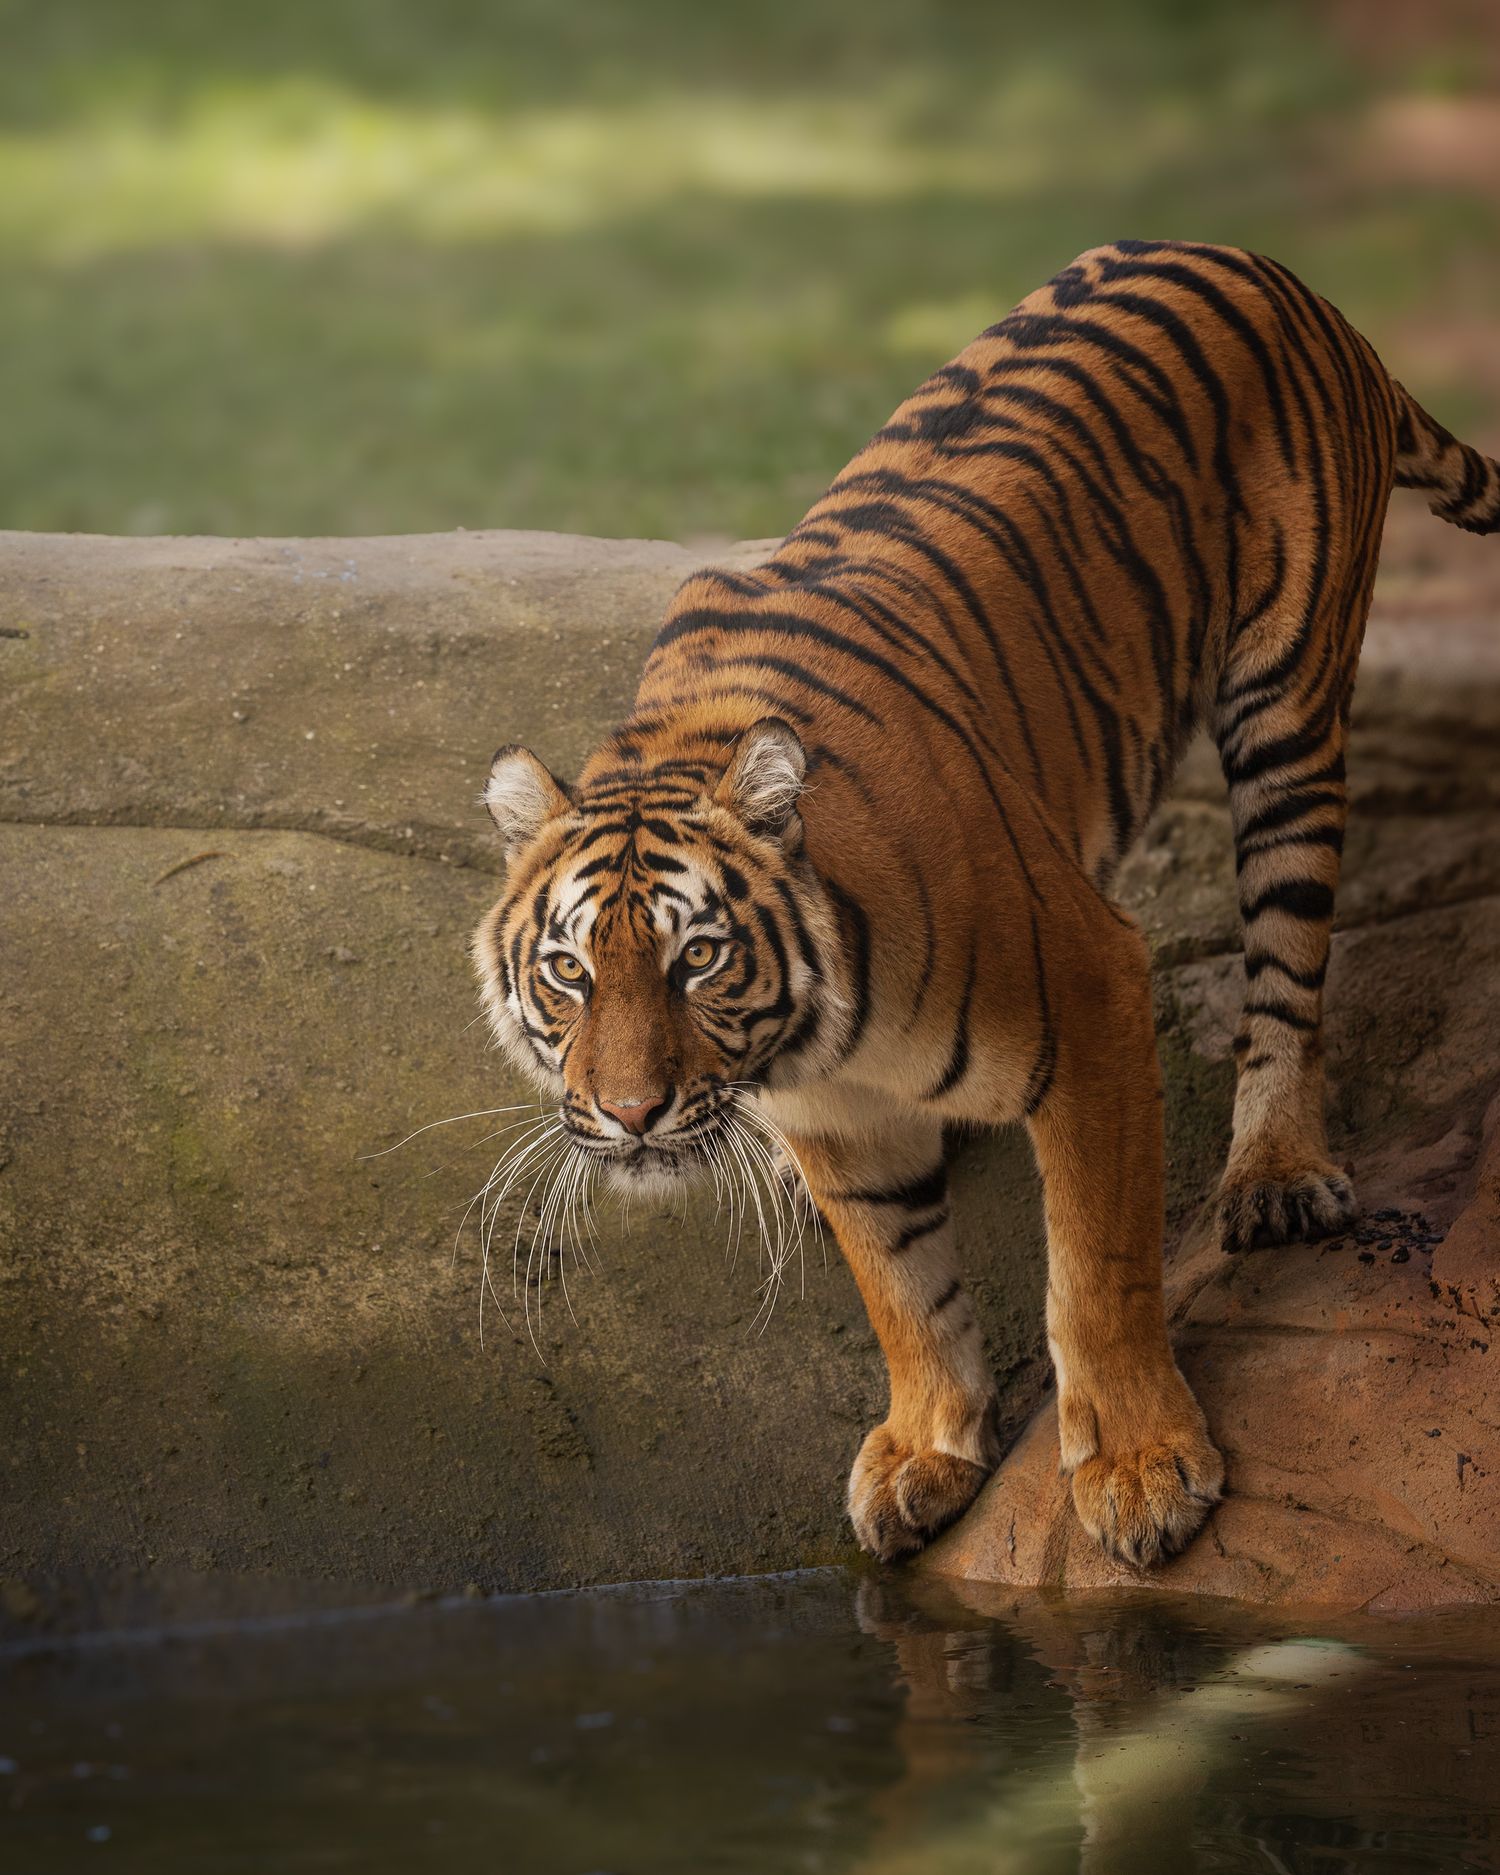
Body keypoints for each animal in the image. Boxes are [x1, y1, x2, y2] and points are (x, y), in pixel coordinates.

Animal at [473, 239, 1500, 1569]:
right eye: (569, 972)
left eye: (697, 959)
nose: (631, 1114)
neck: (817, 1041)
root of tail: (1269, 269)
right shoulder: (838, 1119)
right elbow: (901, 1285)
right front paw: (927, 1450)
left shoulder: (1094, 993)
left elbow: (1097, 1266)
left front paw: (1139, 1467)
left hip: (1290, 703)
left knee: (1287, 964)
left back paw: (1277, 1171)